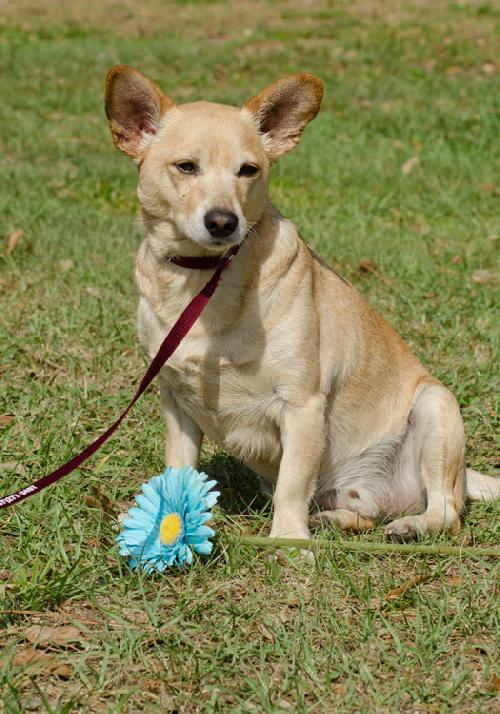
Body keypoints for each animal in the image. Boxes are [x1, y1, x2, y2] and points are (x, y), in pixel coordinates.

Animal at [103, 67, 498, 540]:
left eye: (248, 170)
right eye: (186, 167)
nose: (224, 222)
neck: (204, 279)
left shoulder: (302, 405)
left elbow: (292, 482)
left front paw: (289, 541)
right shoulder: (176, 402)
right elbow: (178, 472)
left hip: (436, 410)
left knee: (447, 510)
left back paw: (410, 526)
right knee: (363, 514)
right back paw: (331, 518)